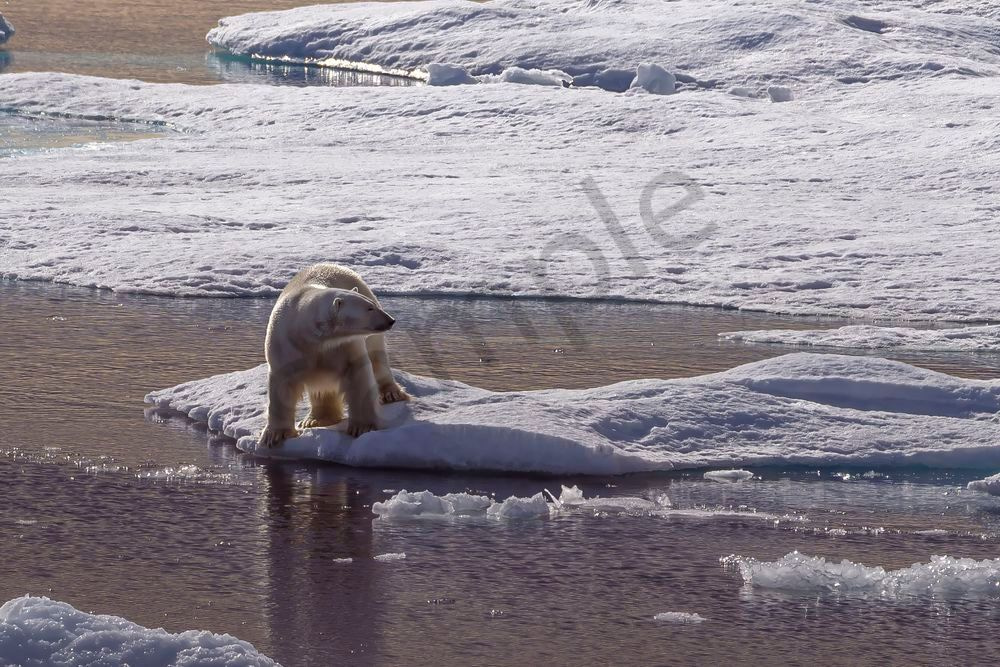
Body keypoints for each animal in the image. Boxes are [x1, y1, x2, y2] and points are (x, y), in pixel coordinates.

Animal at [260, 263, 410, 447]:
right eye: (369, 308)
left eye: (373, 305)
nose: (391, 320)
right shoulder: (285, 343)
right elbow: (282, 385)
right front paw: (274, 436)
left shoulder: (346, 345)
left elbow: (359, 377)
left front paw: (362, 427)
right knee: (322, 389)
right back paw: (315, 420)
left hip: (370, 330)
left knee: (377, 359)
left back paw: (391, 393)